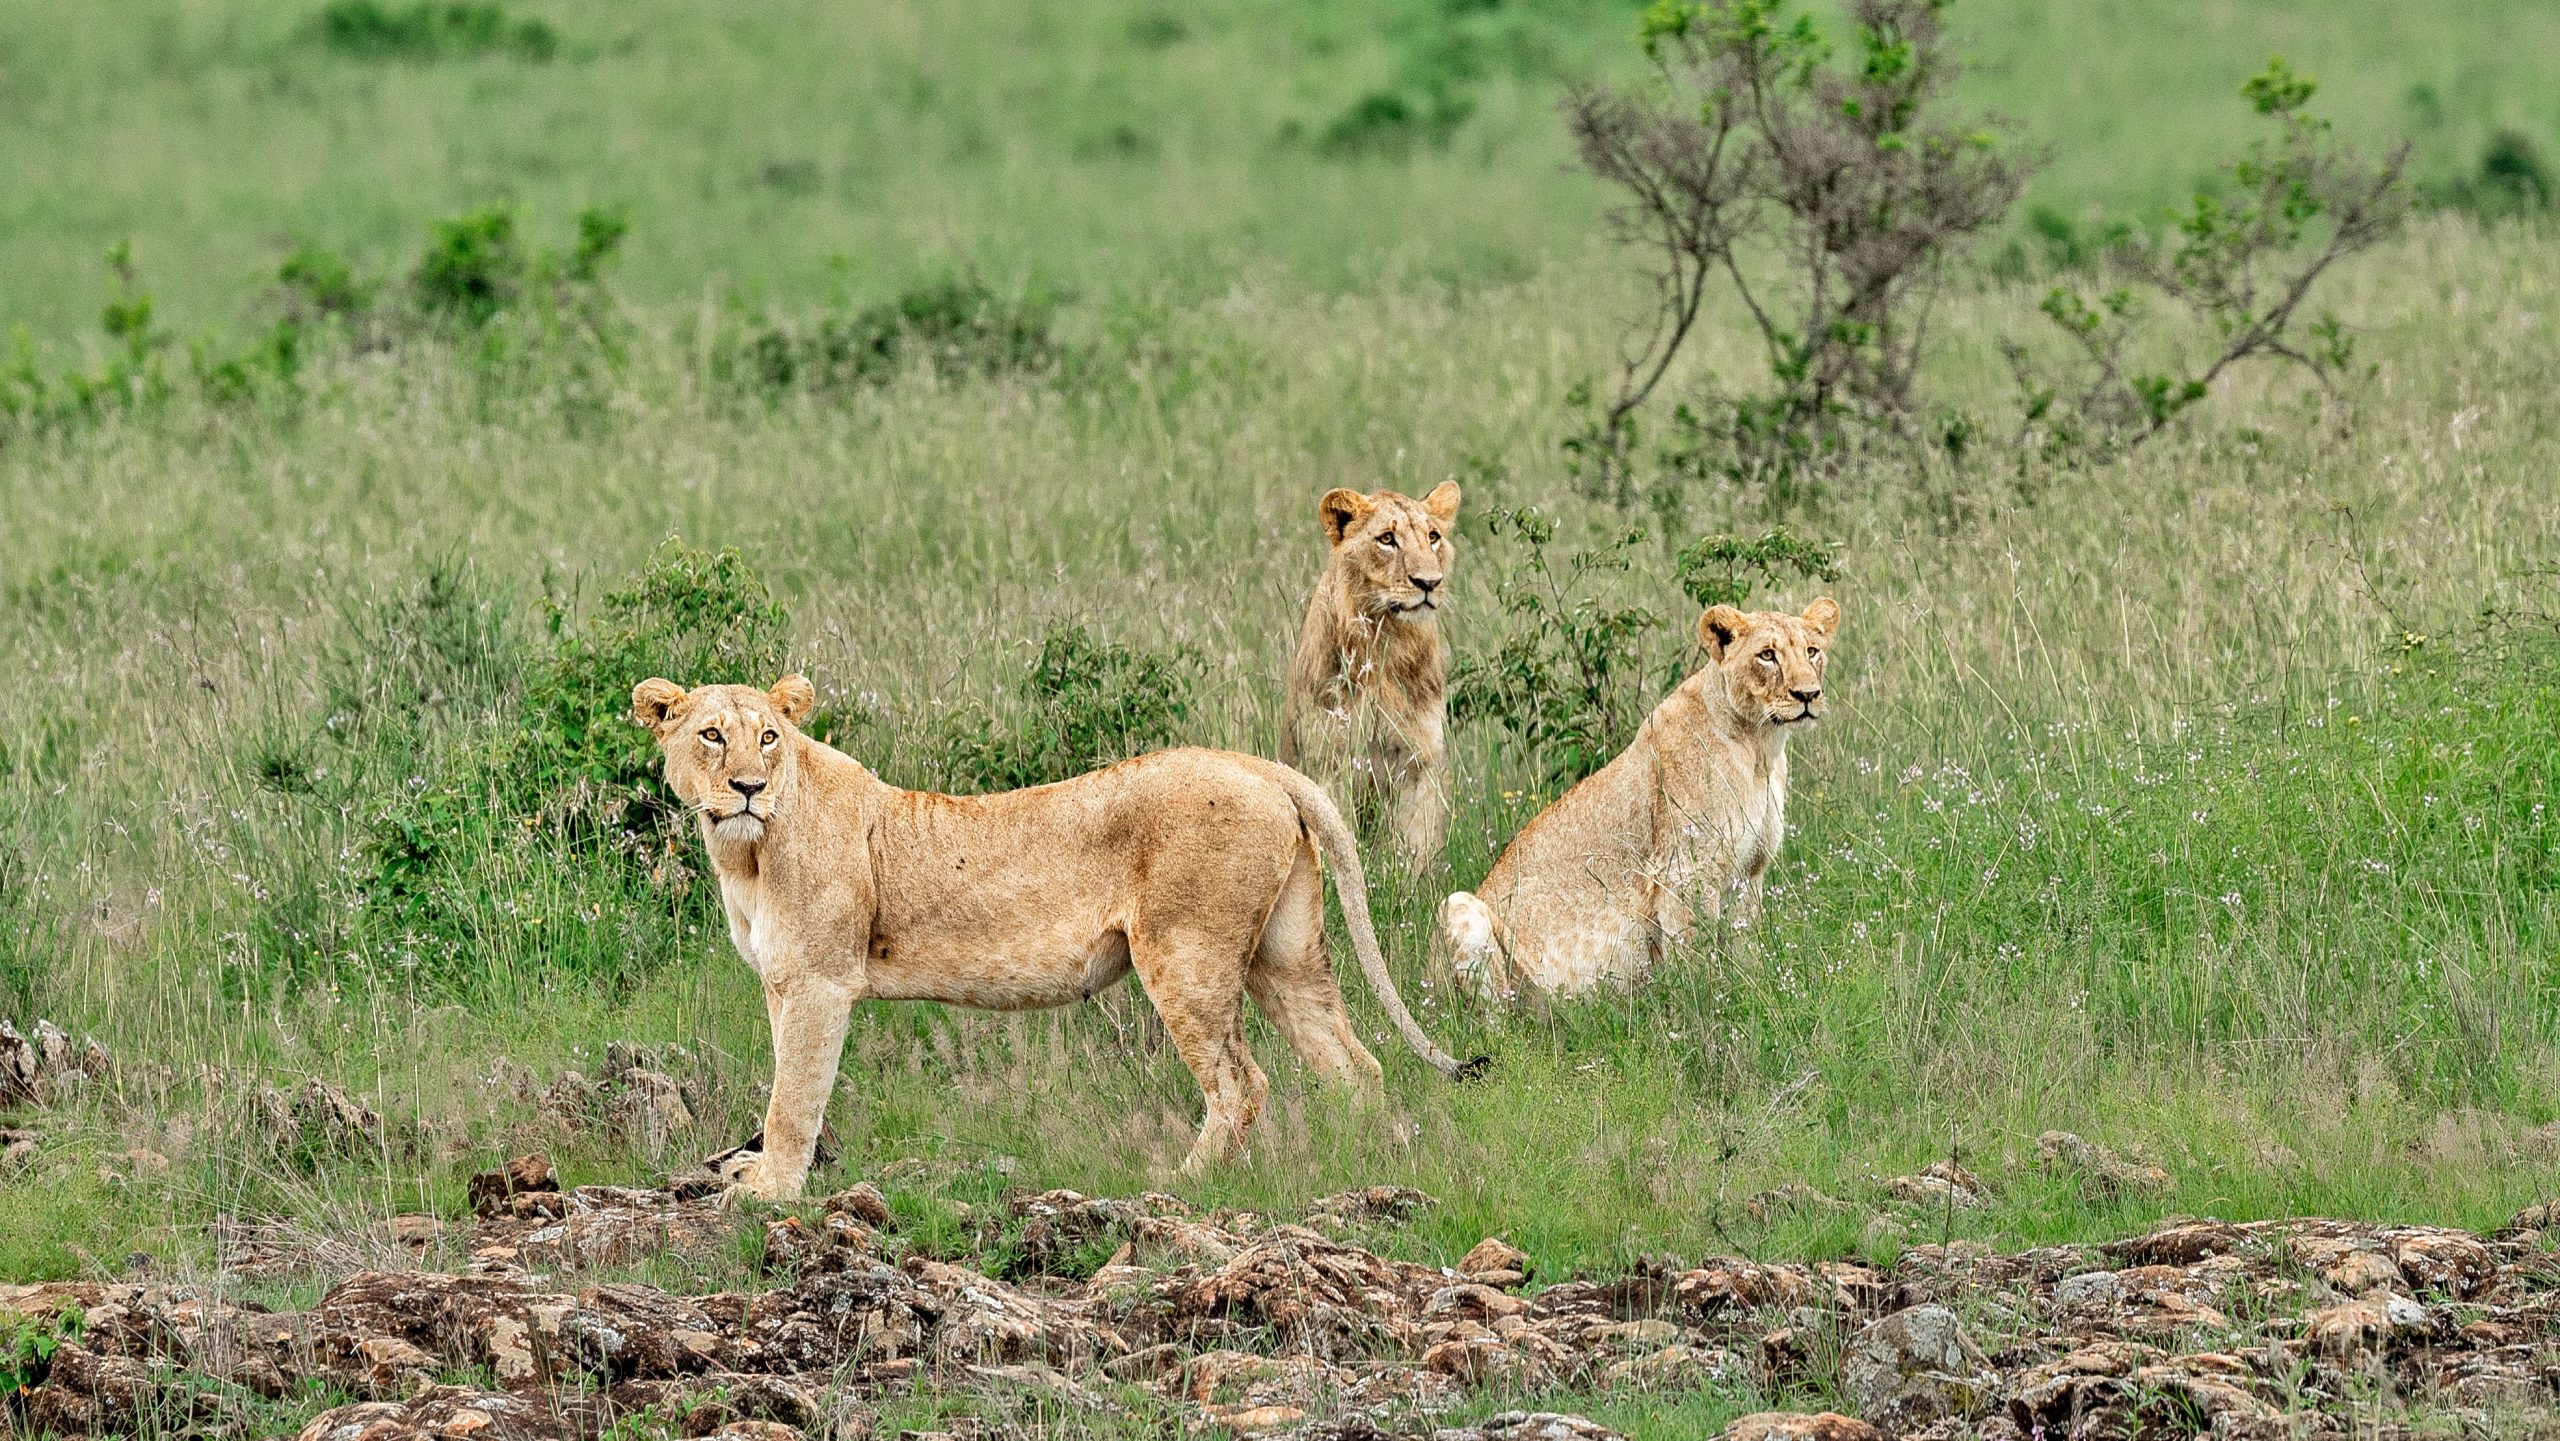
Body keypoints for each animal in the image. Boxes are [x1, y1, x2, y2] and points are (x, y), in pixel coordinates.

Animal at [632, 673, 1473, 1201]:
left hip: (1185, 953)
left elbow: (792, 1097)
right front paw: (760, 1176)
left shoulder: (818, 980)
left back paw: (1180, 1181)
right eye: (712, 735)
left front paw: (769, 1191)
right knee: (1354, 1066)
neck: (745, 852)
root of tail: (1262, 766)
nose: (748, 787)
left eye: (770, 737)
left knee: (1242, 1083)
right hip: (1285, 953)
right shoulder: (782, 982)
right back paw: (1352, 1167)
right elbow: (786, 1085)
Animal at [1279, 482, 1462, 873]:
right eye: (1387, 539)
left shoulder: (1419, 757)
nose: (1429, 583)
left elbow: (1417, 841)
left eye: (1433, 537)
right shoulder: (1332, 758)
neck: (1389, 642)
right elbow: (1340, 838)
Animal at [1434, 599, 1840, 1001]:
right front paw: (1711, 1005)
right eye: (1767, 655)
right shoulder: (1682, 873)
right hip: (1457, 909)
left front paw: (1753, 992)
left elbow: (1747, 945)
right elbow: (1696, 958)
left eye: (1812, 651)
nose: (1808, 695)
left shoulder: (1750, 872)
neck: (1760, 748)